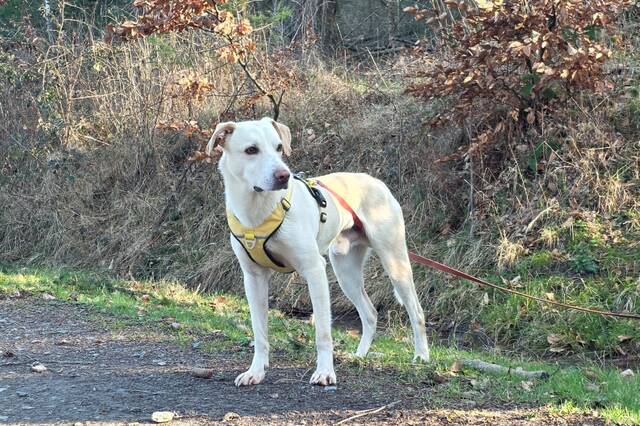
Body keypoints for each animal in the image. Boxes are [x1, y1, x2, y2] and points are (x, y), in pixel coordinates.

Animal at [207, 117, 430, 386]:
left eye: (279, 147)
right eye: (251, 150)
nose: (283, 175)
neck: (259, 210)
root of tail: (377, 182)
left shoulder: (314, 271)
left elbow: (323, 332)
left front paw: (325, 372)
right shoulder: (253, 278)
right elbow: (259, 332)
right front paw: (256, 371)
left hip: (394, 261)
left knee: (416, 311)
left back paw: (421, 356)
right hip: (346, 272)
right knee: (370, 313)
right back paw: (360, 355)